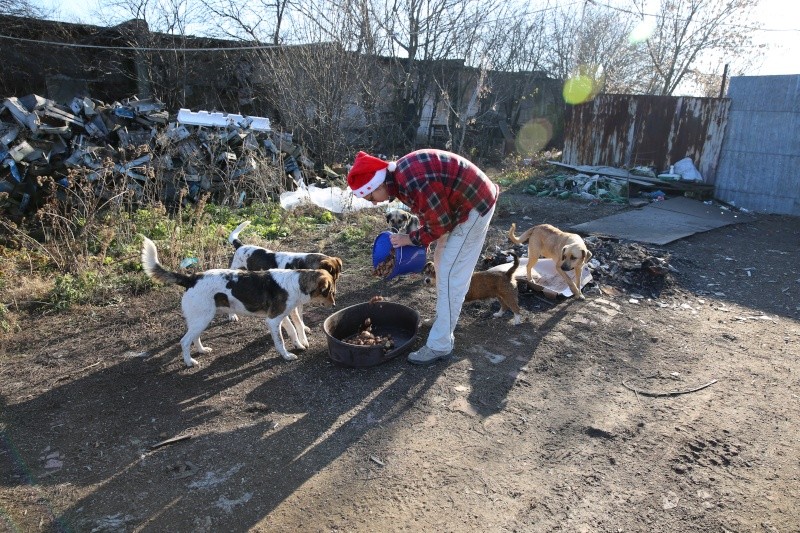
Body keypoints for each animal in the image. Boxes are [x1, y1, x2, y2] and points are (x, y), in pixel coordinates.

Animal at [141, 236, 334, 366]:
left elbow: (293, 331)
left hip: (201, 319)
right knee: (184, 341)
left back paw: (202, 350)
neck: (295, 282)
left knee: (194, 337)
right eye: (330, 292)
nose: (333, 305)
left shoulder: (282, 317)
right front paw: (286, 356)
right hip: (202, 318)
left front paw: (299, 345)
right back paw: (190, 362)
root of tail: (191, 278)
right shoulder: (272, 321)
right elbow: (281, 341)